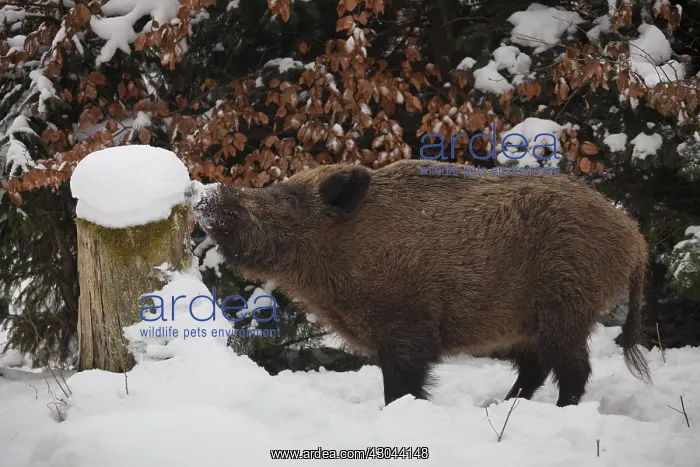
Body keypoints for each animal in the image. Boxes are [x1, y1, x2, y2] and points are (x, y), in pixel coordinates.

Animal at [186, 159, 651, 407]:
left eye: (287, 198)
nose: (203, 192)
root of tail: (634, 239)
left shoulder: (406, 326)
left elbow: (402, 384)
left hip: (567, 307)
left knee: (573, 369)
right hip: (528, 325)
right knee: (535, 369)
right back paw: (503, 405)